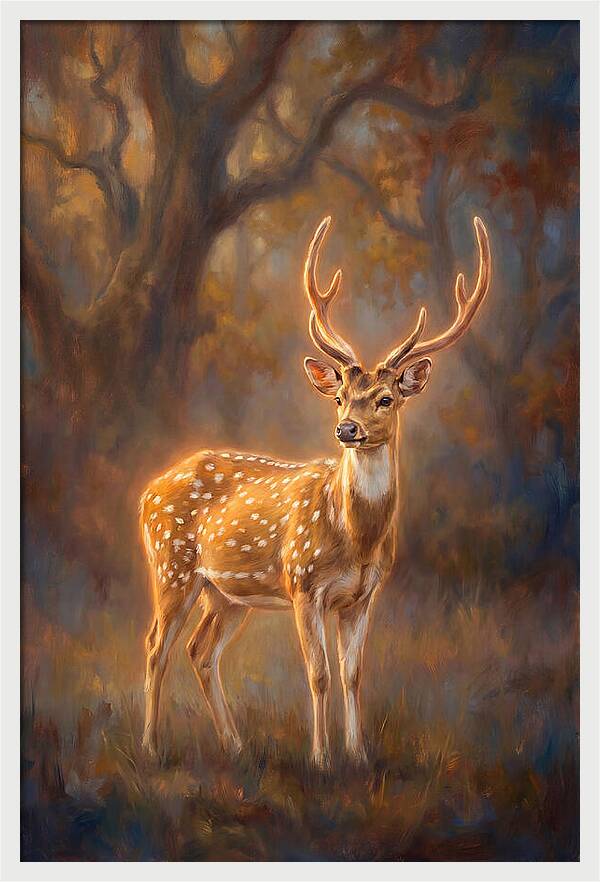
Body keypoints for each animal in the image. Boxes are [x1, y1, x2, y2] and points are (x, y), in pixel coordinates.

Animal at [139, 215, 491, 767]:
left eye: (386, 398)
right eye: (341, 396)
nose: (347, 429)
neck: (356, 538)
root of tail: (147, 491)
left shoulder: (363, 596)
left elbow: (353, 674)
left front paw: (359, 755)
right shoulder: (303, 585)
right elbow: (319, 674)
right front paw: (321, 759)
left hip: (226, 593)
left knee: (200, 651)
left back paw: (235, 745)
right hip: (171, 564)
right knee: (157, 646)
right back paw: (152, 747)